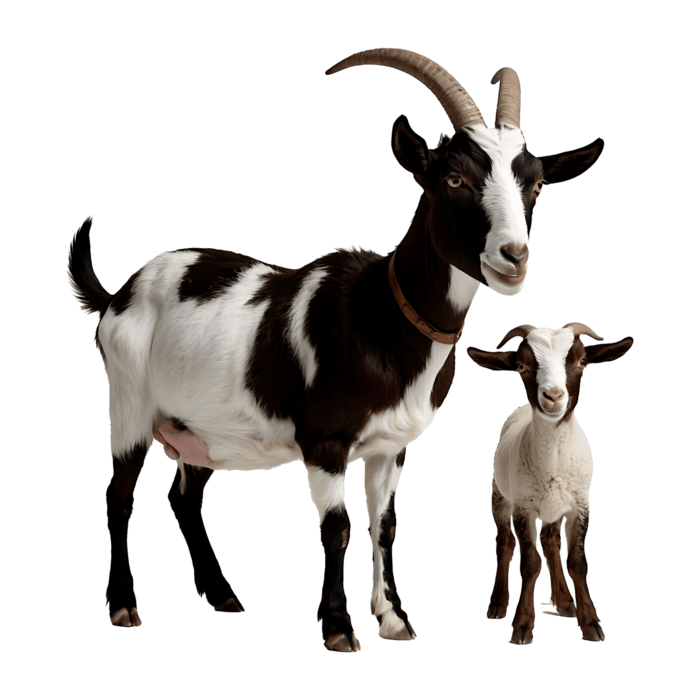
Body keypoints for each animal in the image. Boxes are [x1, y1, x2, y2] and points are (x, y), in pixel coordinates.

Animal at [66, 48, 605, 653]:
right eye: (454, 177)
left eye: (536, 186)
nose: (514, 256)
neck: (382, 318)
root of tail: (122, 289)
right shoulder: (324, 443)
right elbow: (336, 527)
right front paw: (339, 628)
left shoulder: (391, 447)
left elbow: (384, 525)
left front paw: (395, 620)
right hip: (129, 404)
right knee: (119, 497)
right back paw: (124, 606)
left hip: (198, 428)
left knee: (184, 497)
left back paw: (223, 596)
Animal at [466, 323, 633, 645]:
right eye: (521, 366)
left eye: (582, 362)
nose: (553, 396)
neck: (552, 461)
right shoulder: (524, 507)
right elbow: (529, 564)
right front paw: (522, 626)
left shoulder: (580, 504)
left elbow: (577, 562)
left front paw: (590, 623)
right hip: (500, 496)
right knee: (504, 544)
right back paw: (497, 605)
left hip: (554, 506)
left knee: (551, 542)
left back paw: (566, 603)